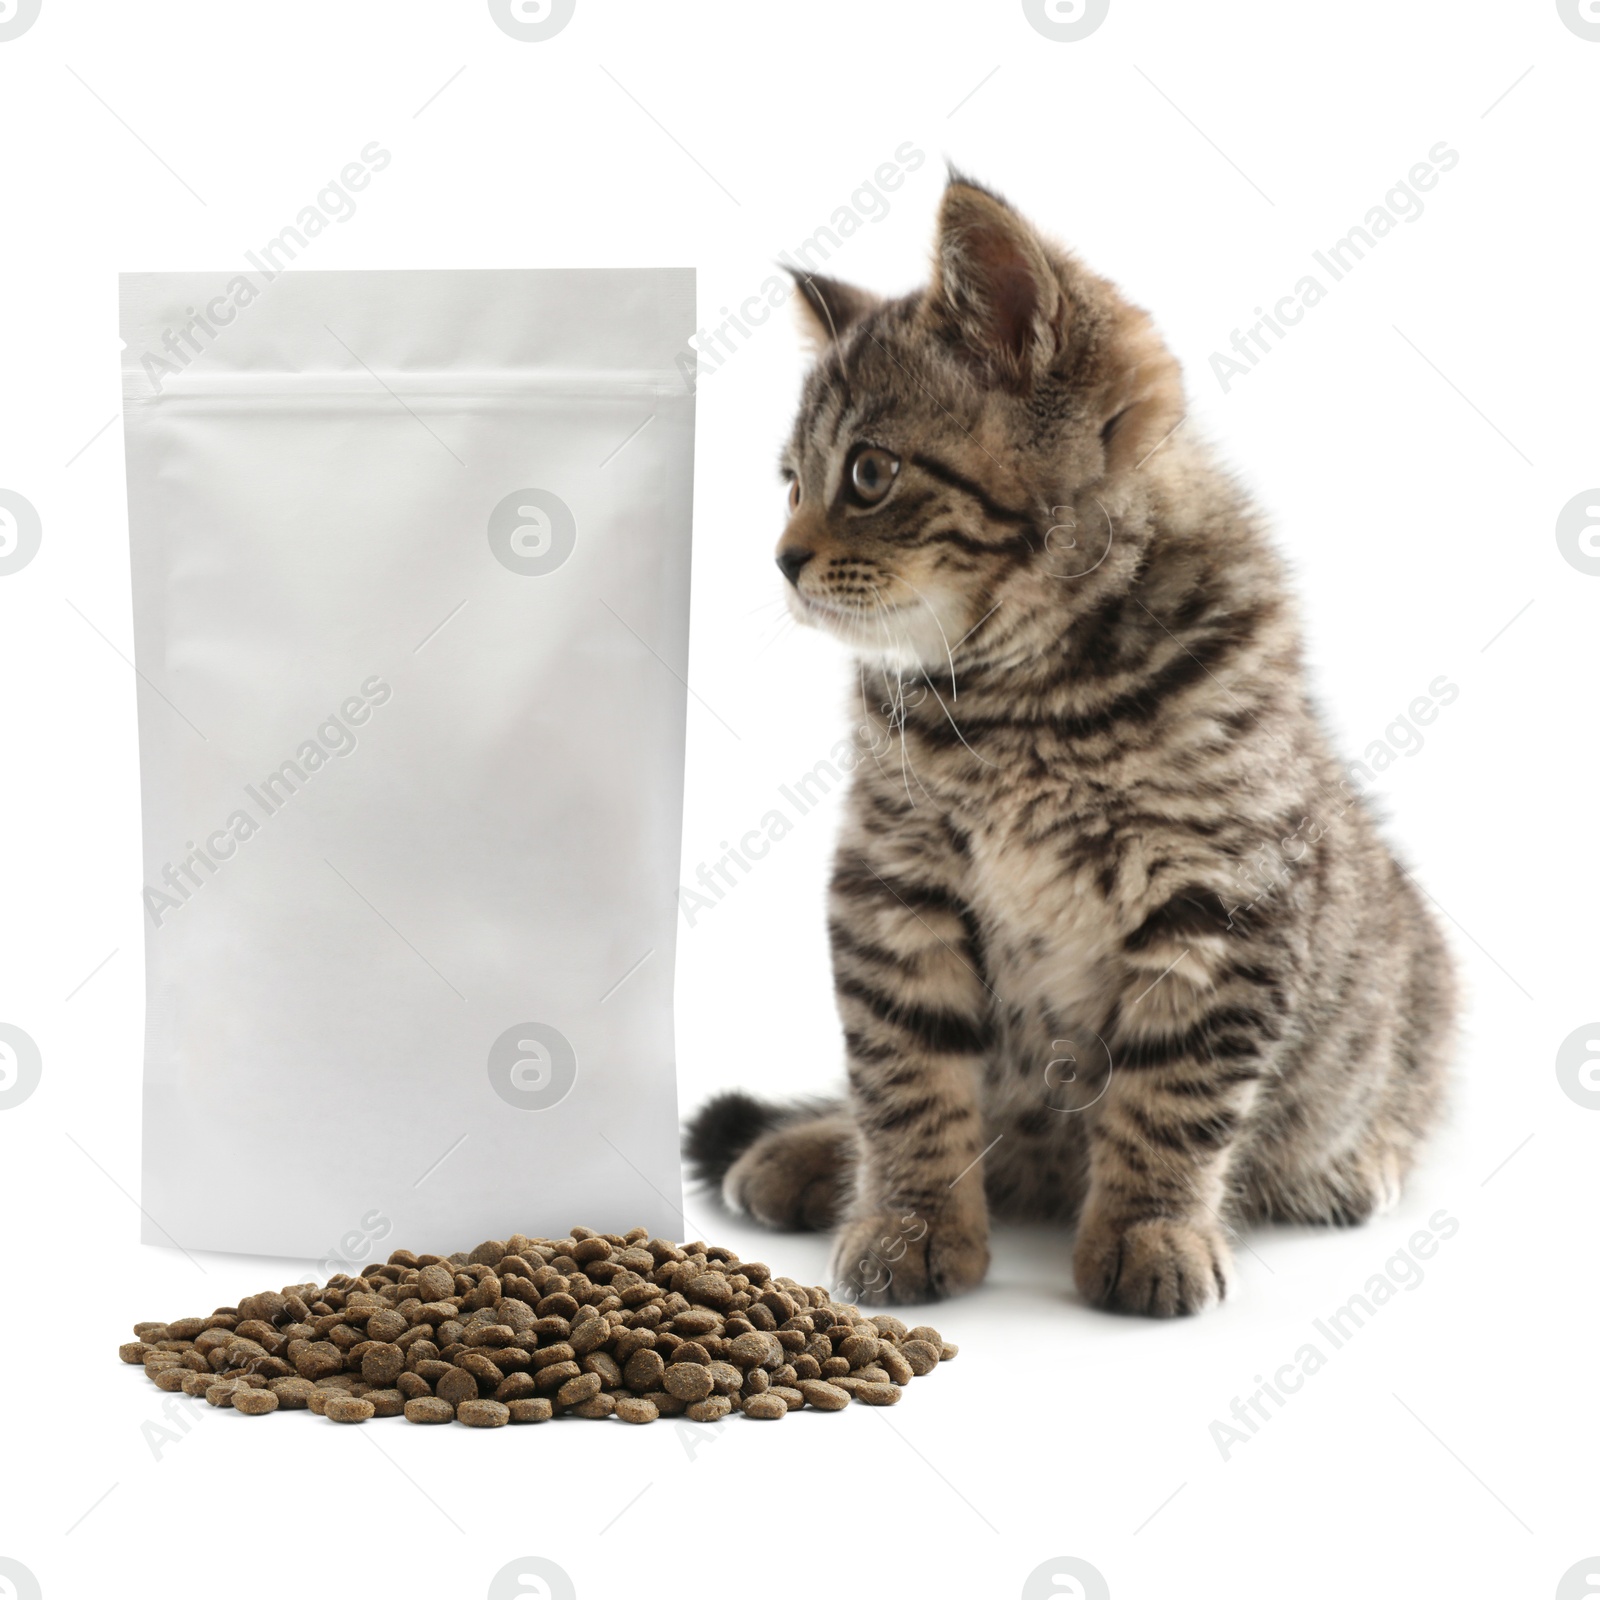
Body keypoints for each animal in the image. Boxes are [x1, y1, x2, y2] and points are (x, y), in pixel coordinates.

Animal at [681, 181, 1459, 1318]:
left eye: (867, 473)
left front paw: (1148, 1230)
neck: (1031, 700)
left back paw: (1350, 1163)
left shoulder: (1223, 895)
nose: (781, 560)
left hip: (1411, 989)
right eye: (789, 481)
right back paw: (812, 1151)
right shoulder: (893, 881)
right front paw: (909, 1219)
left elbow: (1172, 1092)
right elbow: (904, 1075)